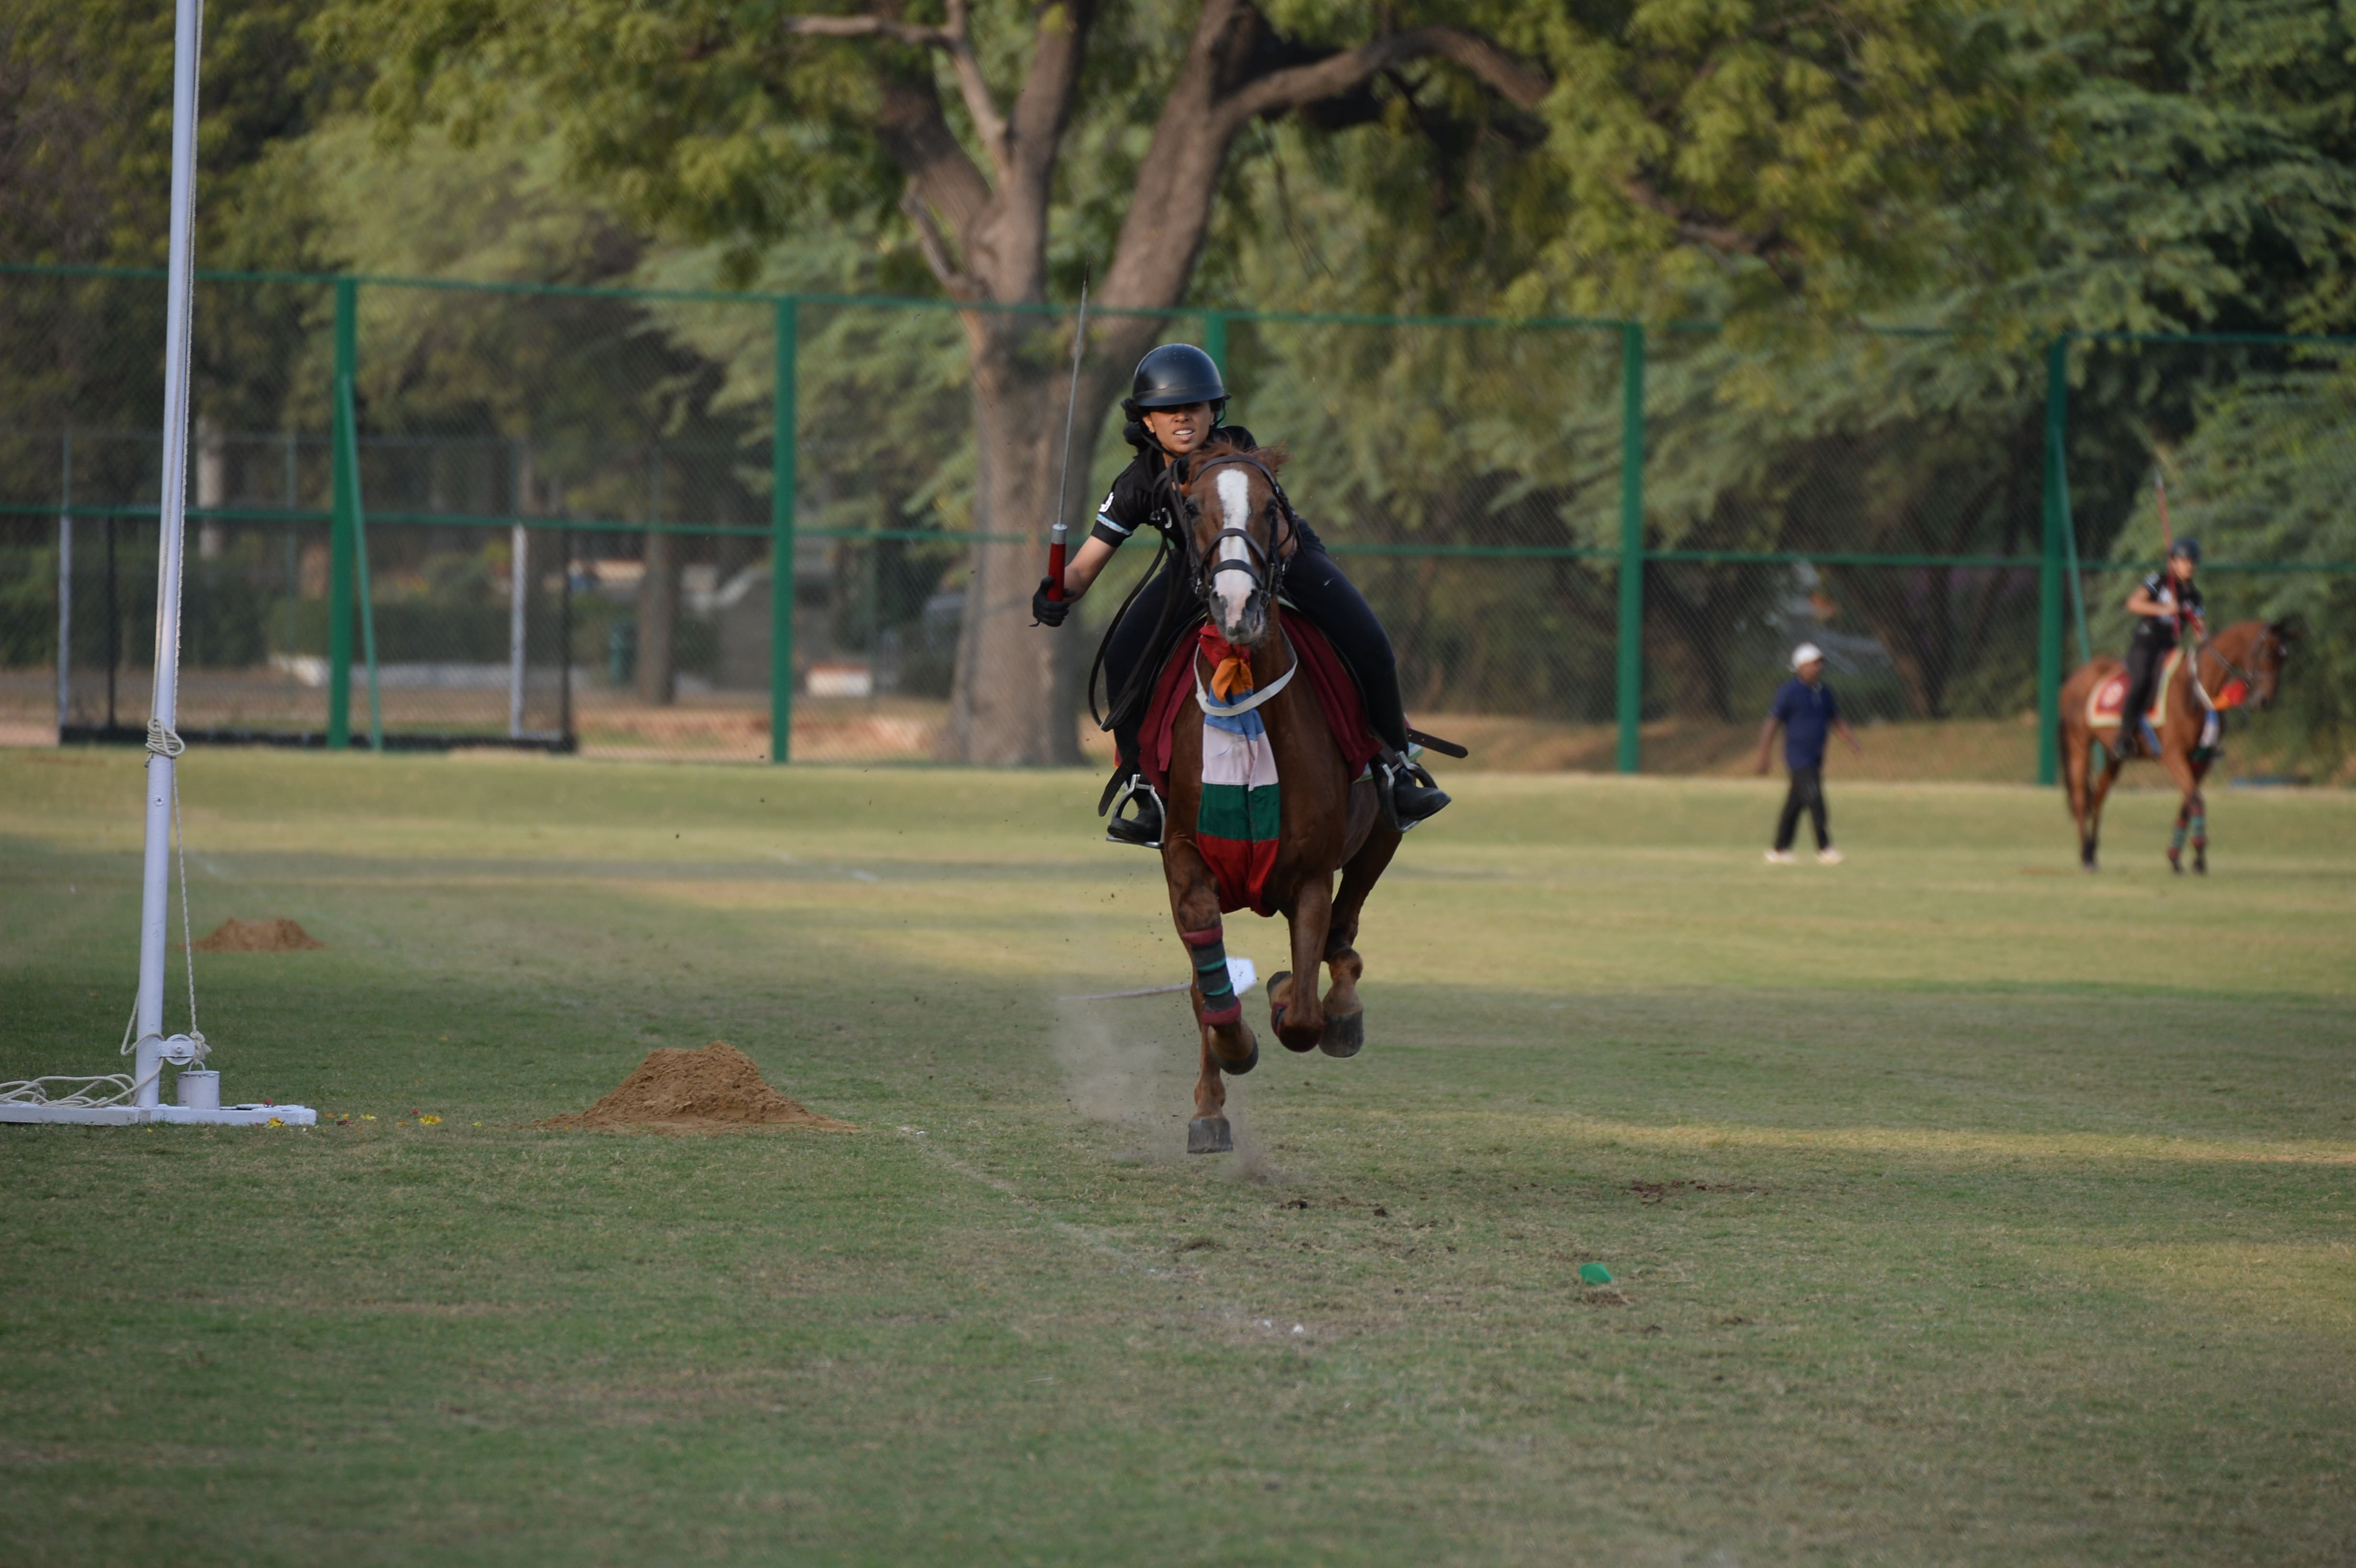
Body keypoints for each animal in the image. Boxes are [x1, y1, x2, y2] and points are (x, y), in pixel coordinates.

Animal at [1156, 439, 1402, 1155]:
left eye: (1273, 508)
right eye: (1191, 507)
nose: (1238, 605)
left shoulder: (1311, 875)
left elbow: (1301, 1017)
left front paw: (1288, 996)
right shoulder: (1186, 862)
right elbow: (1208, 992)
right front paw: (1223, 1074)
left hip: (1381, 831)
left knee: (1345, 932)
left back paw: (1340, 1007)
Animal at [2058, 618, 2294, 873]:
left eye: (2284, 658)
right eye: (2268, 653)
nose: (2266, 700)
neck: (2197, 690)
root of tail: (2074, 678)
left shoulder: (2202, 759)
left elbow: (2188, 803)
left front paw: (2176, 857)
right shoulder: (2173, 755)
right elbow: (2196, 801)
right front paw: (2199, 857)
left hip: (2114, 756)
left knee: (2099, 798)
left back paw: (2092, 853)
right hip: (2079, 745)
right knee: (2082, 800)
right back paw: (2085, 855)